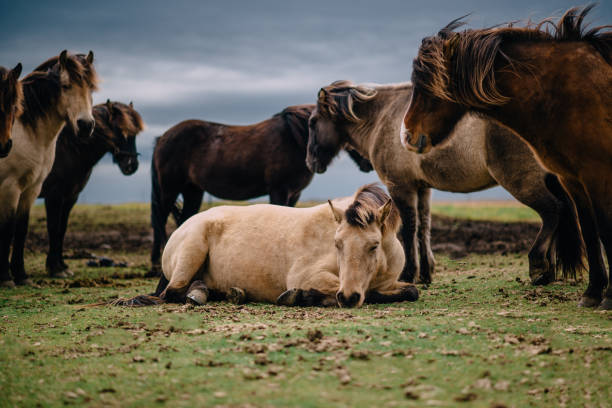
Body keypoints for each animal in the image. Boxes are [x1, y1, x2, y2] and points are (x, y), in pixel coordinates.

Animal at [0, 50, 97, 286]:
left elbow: (21, 229)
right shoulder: (10, 188)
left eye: (91, 87)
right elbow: (8, 229)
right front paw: (6, 277)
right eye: (66, 86)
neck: (26, 131)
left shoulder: (31, 189)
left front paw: (21, 275)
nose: (86, 125)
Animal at [39, 99, 145, 278]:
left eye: (135, 134)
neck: (68, 149)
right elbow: (53, 228)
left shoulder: (70, 197)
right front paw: (54, 268)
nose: (131, 166)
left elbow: (61, 230)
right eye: (119, 131)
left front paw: (62, 266)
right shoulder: (54, 196)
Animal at [113, 183, 418, 308]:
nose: (349, 297)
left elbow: (411, 291)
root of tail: (184, 226)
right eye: (337, 244)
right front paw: (302, 296)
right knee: (173, 293)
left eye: (374, 245)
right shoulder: (307, 276)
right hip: (190, 254)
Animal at [149, 103, 372, 274]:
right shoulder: (279, 190)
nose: (369, 163)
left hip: (193, 191)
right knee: (160, 220)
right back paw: (155, 265)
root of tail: (162, 138)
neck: (295, 139)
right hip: (169, 191)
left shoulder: (294, 193)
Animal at [402, 5, 612, 310]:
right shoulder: (573, 179)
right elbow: (590, 230)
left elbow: (605, 228)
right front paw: (593, 292)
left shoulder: (597, 175)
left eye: (430, 85)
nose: (406, 135)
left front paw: (607, 297)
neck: (563, 92)